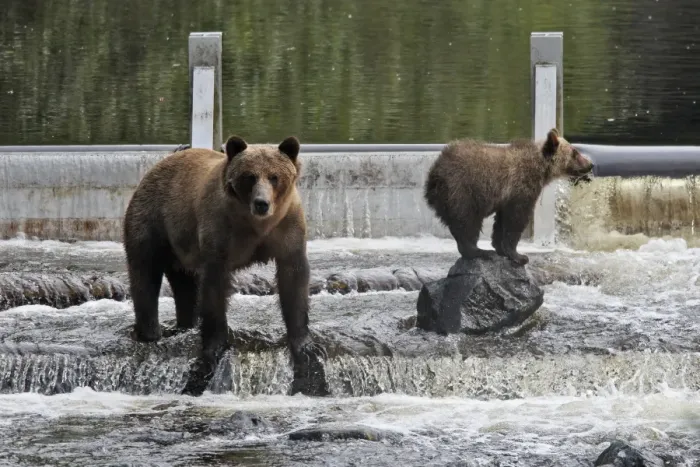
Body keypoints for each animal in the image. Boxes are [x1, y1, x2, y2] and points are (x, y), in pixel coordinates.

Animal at [123, 135, 323, 395]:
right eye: (249, 176)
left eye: (274, 176)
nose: (261, 203)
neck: (256, 225)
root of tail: (157, 165)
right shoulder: (220, 232)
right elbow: (214, 288)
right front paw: (215, 345)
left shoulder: (288, 230)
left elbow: (294, 280)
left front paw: (303, 342)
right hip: (153, 221)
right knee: (144, 273)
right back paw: (150, 332)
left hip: (180, 247)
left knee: (184, 286)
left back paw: (185, 324)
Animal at [423, 128, 594, 266]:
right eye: (575, 152)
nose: (590, 164)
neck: (541, 169)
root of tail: (434, 173)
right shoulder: (521, 188)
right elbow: (516, 220)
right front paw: (519, 256)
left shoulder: (506, 198)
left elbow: (501, 222)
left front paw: (501, 248)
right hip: (462, 191)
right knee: (467, 222)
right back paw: (480, 251)